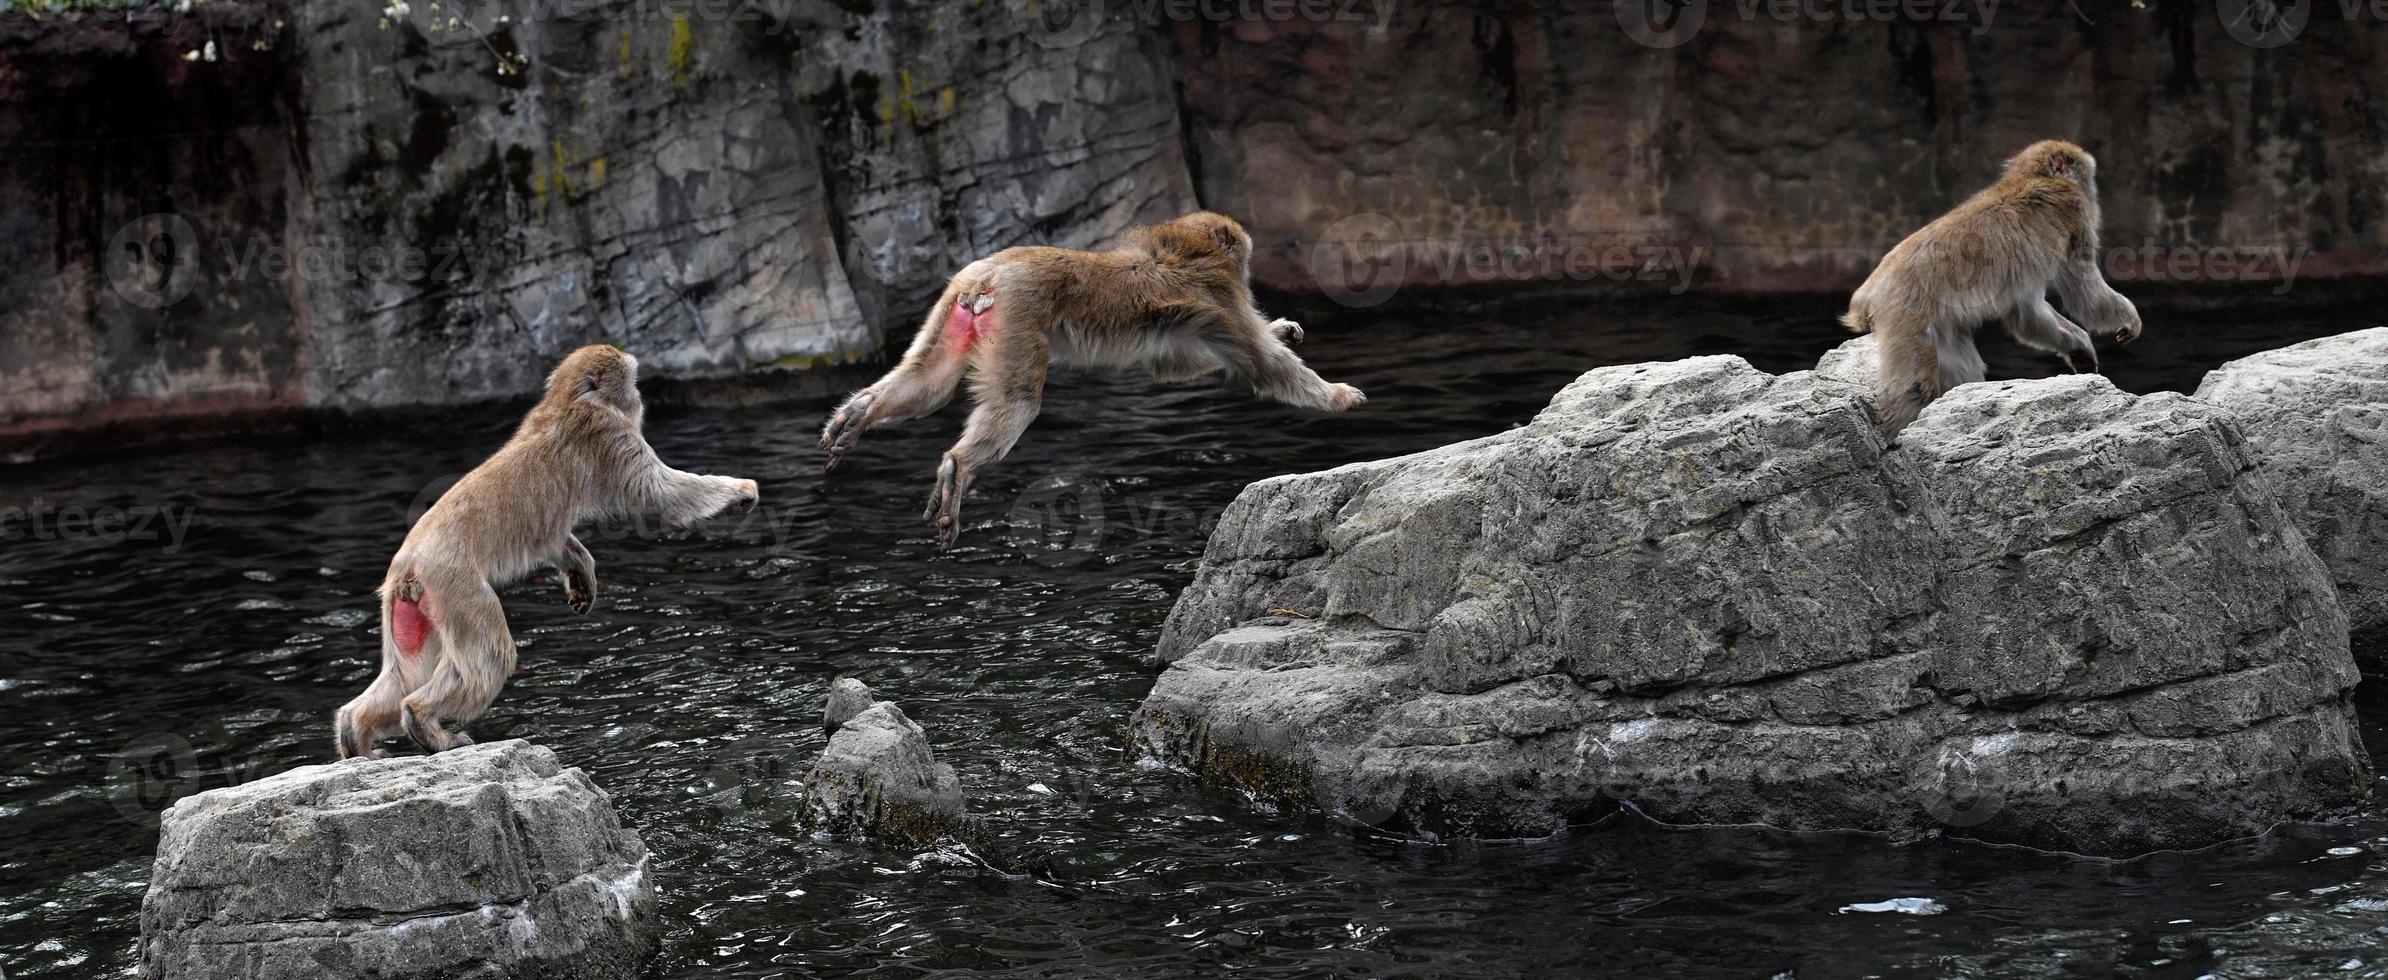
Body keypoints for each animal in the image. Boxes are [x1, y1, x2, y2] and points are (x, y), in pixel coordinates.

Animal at [334, 344, 754, 760]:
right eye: (632, 382)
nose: (639, 399)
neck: (567, 399)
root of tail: (408, 563)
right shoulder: (610, 436)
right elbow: (660, 494)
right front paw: (740, 490)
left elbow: (552, 541)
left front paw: (581, 571)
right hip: (456, 587)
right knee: (489, 657)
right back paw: (423, 721)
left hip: (412, 604)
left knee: (406, 673)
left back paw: (356, 732)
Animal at [821, 210, 1365, 547]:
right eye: (1245, 261)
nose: (1250, 270)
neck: (1184, 250)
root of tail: (985, 279)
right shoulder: (1221, 297)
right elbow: (1263, 365)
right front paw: (1338, 396)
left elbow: (1173, 365)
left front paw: (1281, 328)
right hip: (1017, 317)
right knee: (1017, 403)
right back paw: (958, 468)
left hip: (953, 302)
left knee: (929, 385)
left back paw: (859, 413)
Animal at [1833, 139, 2158, 435]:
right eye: (2087, 177)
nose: (2094, 191)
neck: (2032, 177)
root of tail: (1867, 292)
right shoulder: (2075, 215)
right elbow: (2082, 296)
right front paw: (2127, 319)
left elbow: (2027, 315)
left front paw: (2078, 347)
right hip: (1905, 313)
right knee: (1913, 385)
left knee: (1959, 361)